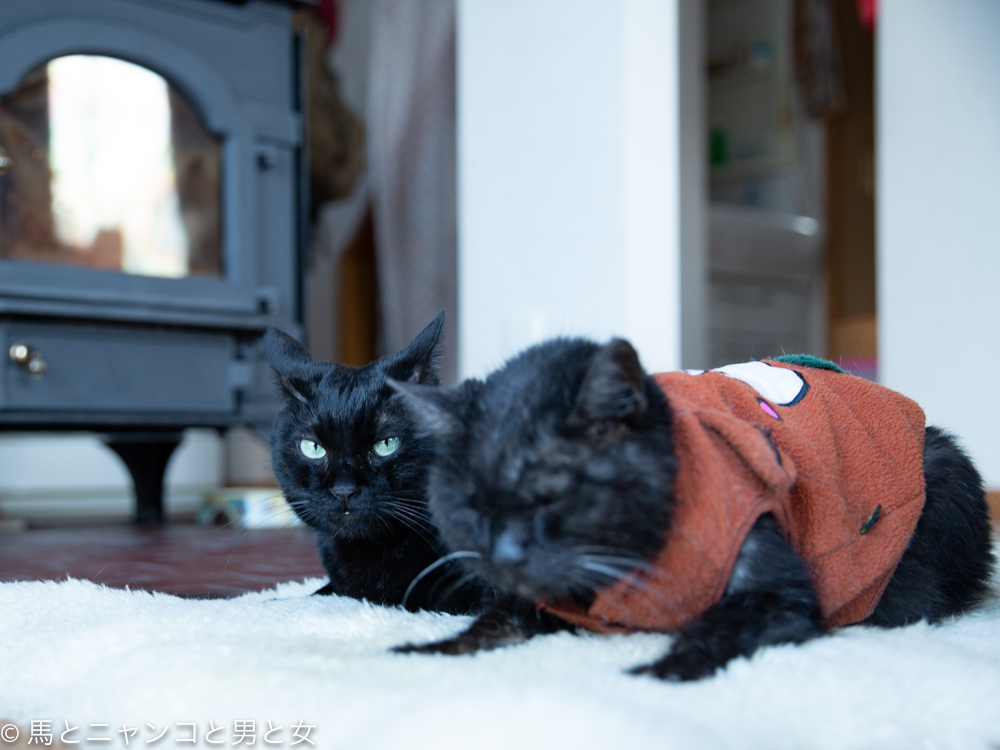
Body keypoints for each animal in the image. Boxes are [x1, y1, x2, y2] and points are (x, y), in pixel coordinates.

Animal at [389, 337, 996, 680]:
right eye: (471, 504)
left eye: (554, 492)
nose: (505, 555)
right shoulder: (549, 599)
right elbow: (494, 621)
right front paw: (425, 648)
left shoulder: (779, 595)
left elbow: (713, 629)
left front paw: (656, 671)